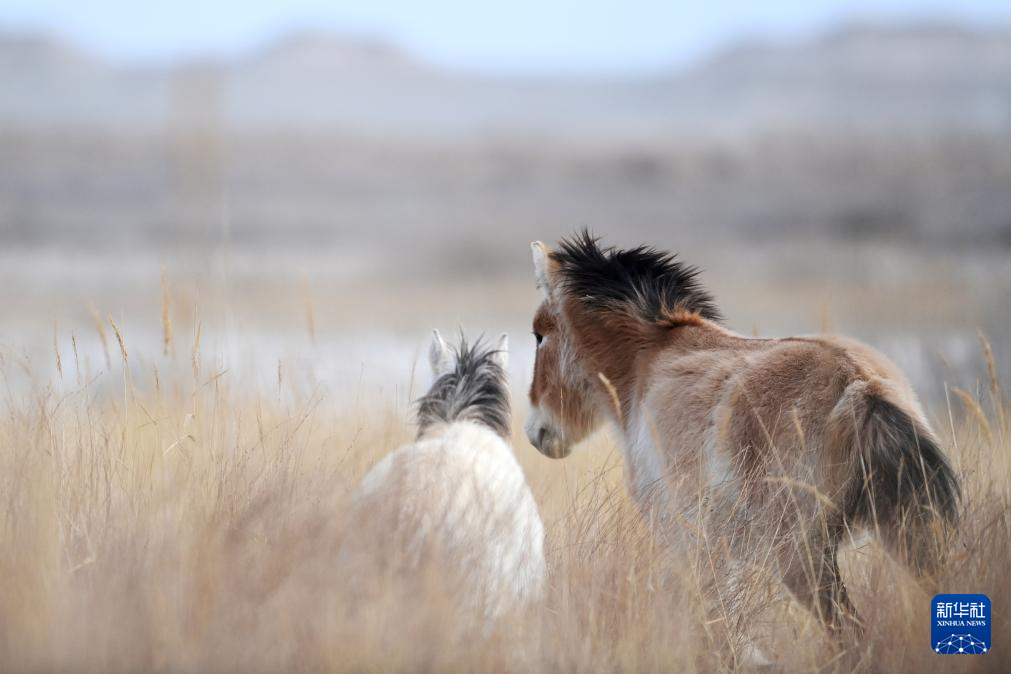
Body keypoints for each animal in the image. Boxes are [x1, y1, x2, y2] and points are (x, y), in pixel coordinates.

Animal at [523, 231, 959, 649]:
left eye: (539, 335)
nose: (536, 431)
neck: (648, 360)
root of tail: (861, 385)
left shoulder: (683, 540)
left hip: (802, 557)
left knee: (850, 635)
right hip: (908, 532)